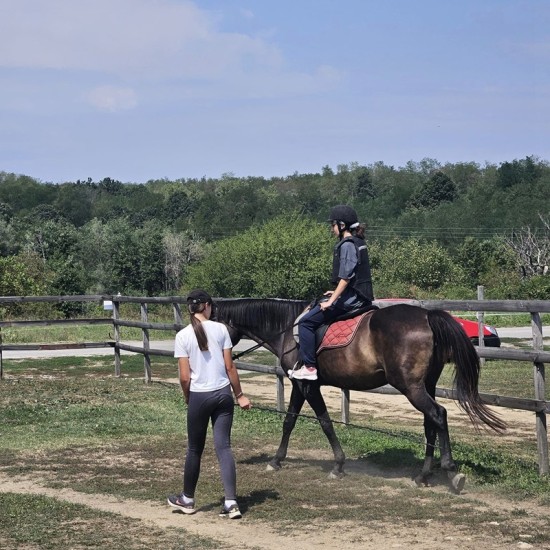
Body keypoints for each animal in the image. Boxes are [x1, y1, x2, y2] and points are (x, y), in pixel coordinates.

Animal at [213, 300, 506, 494]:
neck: (287, 329)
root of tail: (426, 316)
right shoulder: (300, 385)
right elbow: (290, 421)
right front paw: (276, 460)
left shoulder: (308, 385)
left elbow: (323, 422)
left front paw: (337, 465)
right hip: (426, 385)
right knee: (430, 423)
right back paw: (423, 475)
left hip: (411, 387)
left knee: (438, 415)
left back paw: (451, 472)